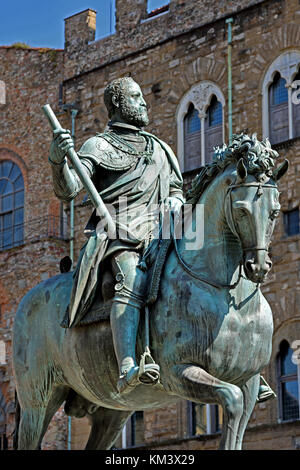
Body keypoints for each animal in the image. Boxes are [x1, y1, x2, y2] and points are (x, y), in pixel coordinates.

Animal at [11, 134, 288, 450]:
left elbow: (238, 421)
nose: (258, 266)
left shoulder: (250, 381)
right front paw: (60, 147)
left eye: (274, 211)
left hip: (112, 410)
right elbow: (232, 399)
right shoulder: (179, 372)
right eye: (242, 209)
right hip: (38, 401)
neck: (230, 300)